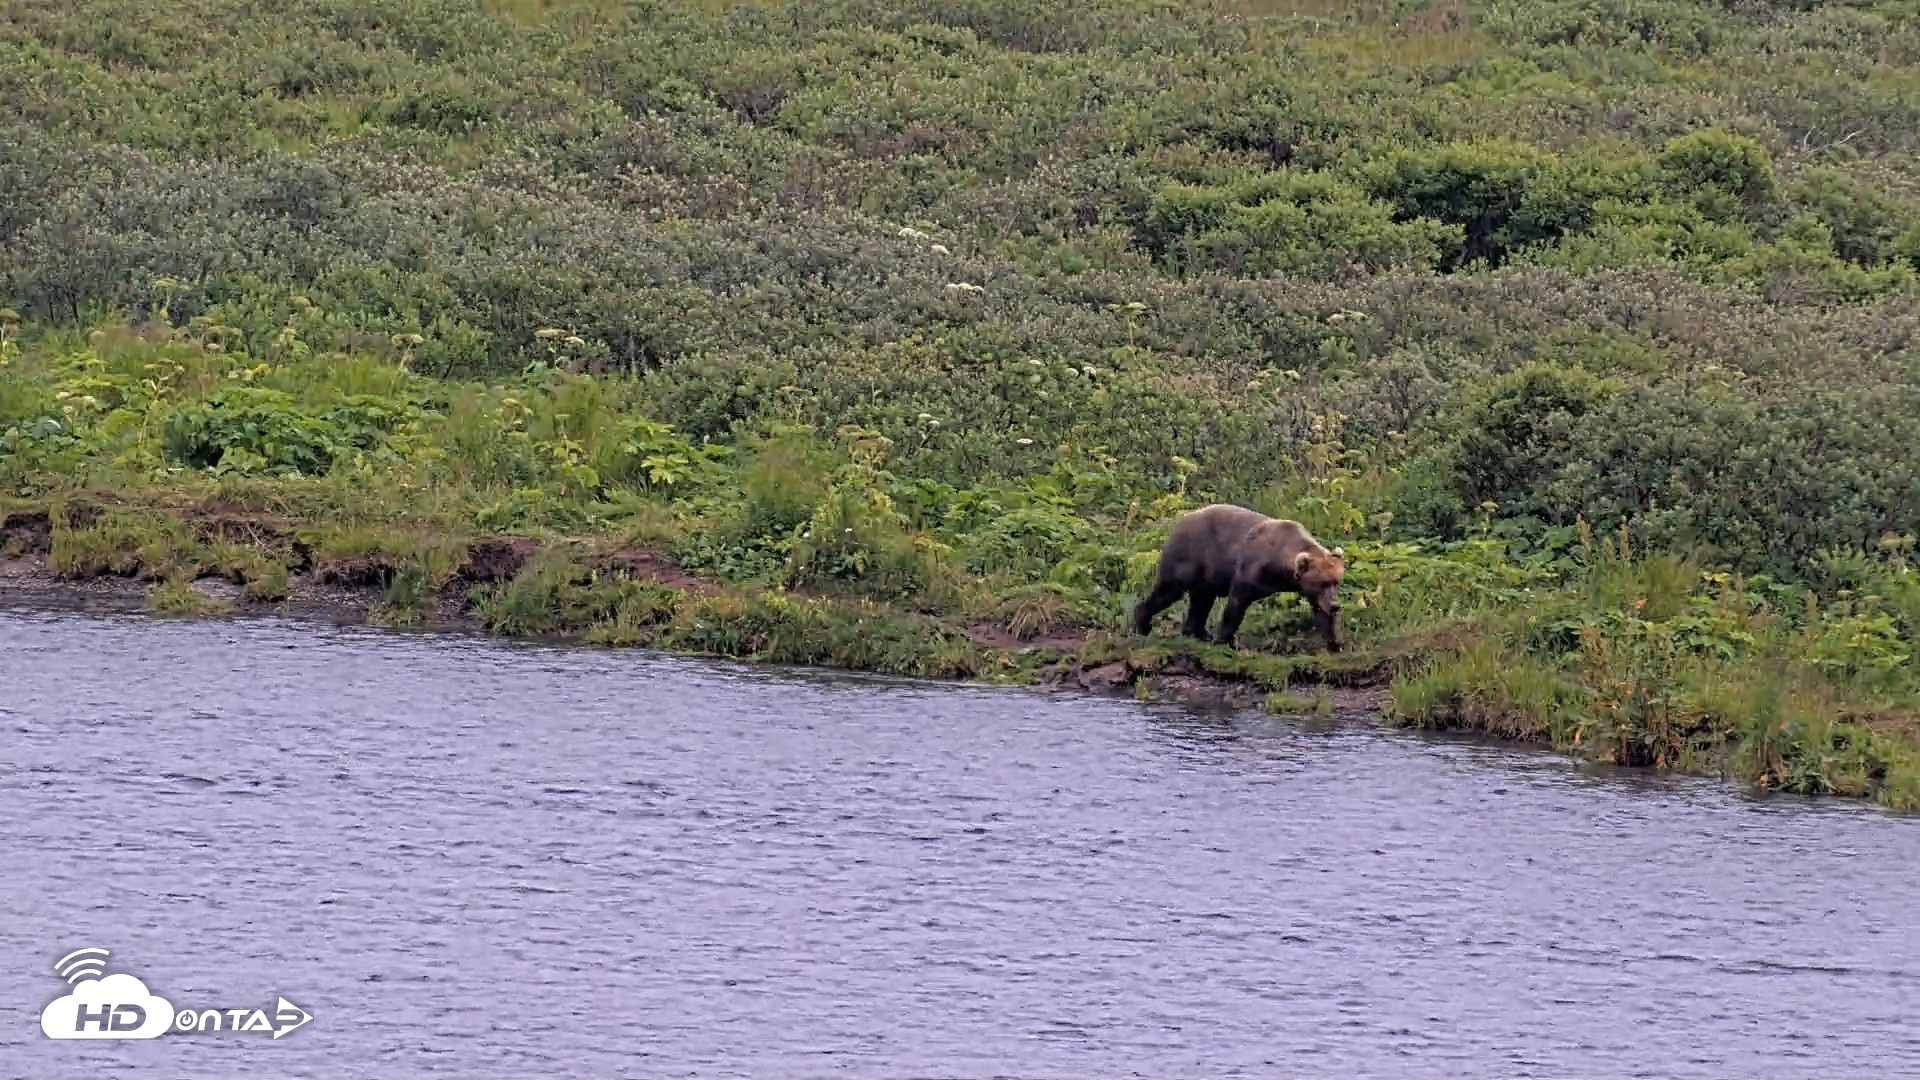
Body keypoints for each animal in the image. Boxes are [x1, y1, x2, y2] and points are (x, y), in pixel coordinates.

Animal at [1130, 503, 1347, 651]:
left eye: (1335, 581)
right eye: (1322, 582)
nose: (1336, 605)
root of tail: (1181, 519)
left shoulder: (1305, 588)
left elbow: (1321, 612)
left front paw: (1335, 642)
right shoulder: (1250, 569)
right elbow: (1236, 604)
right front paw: (1225, 640)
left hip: (1207, 574)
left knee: (1201, 599)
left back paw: (1199, 632)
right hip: (1188, 556)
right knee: (1169, 589)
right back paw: (1142, 625)